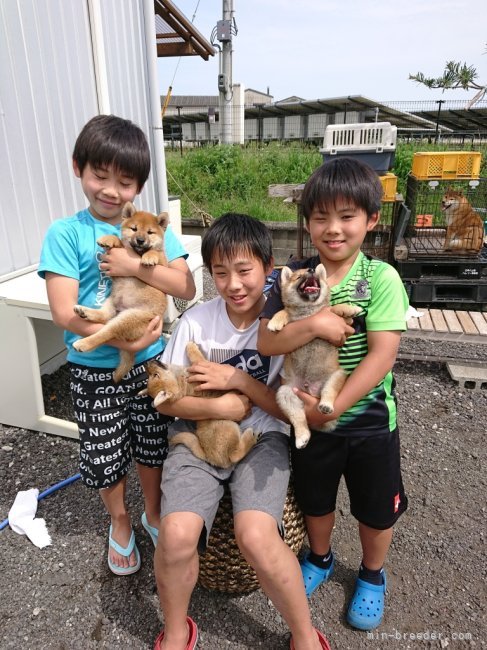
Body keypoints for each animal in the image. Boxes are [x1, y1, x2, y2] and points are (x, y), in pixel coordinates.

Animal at [72, 201, 170, 380]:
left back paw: (83, 342)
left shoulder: (164, 265)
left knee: (107, 332)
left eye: (150, 232)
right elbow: (120, 241)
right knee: (103, 317)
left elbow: (155, 253)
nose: (140, 240)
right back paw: (84, 312)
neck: (136, 254)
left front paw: (149, 257)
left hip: (129, 318)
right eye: (134, 229)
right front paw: (108, 239)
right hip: (111, 302)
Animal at [266, 264, 362, 446]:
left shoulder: (340, 321)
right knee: (299, 419)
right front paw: (275, 321)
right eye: (298, 277)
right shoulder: (292, 318)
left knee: (328, 393)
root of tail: (310, 391)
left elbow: (335, 307)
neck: (308, 312)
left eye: (313, 272)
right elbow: (283, 311)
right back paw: (301, 438)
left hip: (336, 376)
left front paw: (351, 308)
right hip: (285, 393)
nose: (311, 270)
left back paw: (325, 405)